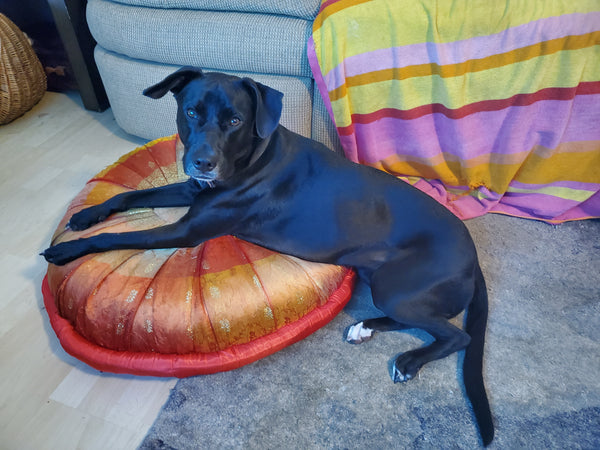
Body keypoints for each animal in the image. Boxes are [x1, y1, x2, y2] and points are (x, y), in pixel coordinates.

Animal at [42, 67, 492, 446]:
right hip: (381, 282)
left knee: (456, 334)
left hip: (395, 286)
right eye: (191, 111)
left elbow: (116, 237)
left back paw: (409, 361)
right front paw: (85, 215)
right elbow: (131, 195)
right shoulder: (190, 190)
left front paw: (67, 248)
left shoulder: (187, 230)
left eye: (235, 121)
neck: (251, 157)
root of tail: (473, 257)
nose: (202, 162)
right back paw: (363, 326)